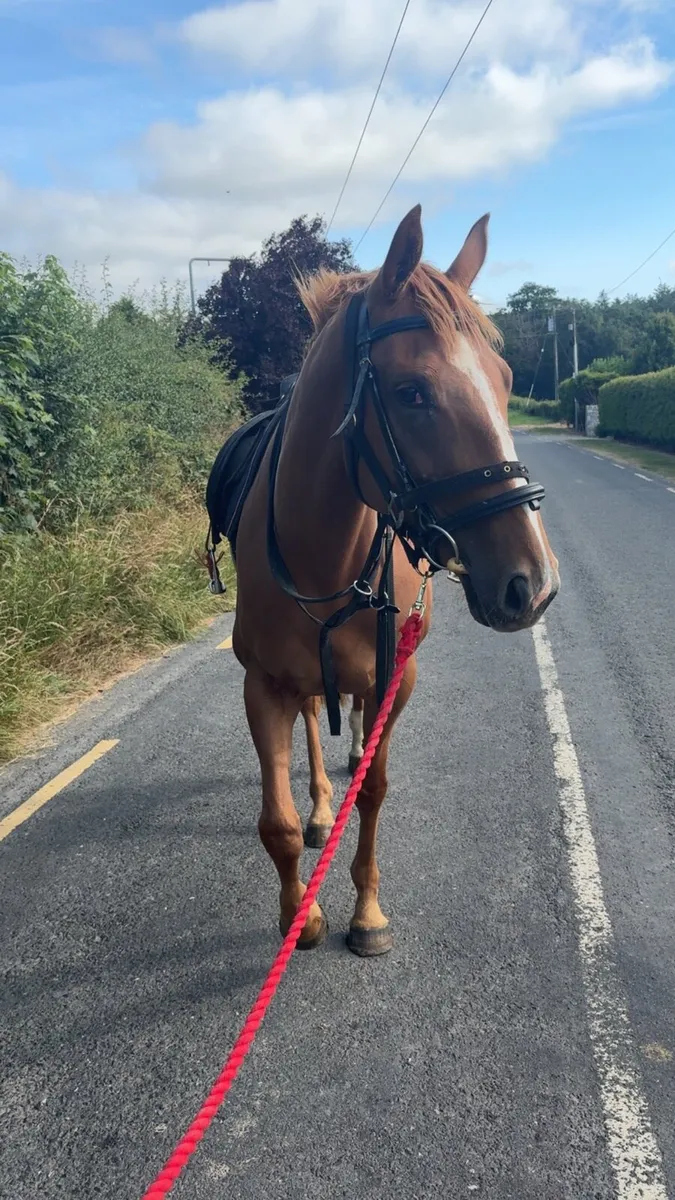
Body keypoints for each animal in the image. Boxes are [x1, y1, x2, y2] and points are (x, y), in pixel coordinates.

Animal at [220, 205, 559, 957]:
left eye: (505, 379)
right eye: (412, 392)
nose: (533, 583)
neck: (323, 552)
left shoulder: (393, 679)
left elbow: (374, 791)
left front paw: (367, 913)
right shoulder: (262, 687)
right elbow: (277, 822)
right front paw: (300, 914)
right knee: (314, 720)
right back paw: (322, 803)